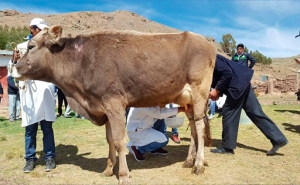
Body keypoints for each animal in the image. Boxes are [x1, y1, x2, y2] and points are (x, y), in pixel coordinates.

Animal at [11, 25, 217, 184]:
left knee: (199, 126)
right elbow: (110, 139)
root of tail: (205, 40)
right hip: (187, 100)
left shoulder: (114, 103)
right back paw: (189, 161)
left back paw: (198, 165)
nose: (14, 69)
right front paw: (109, 169)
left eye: (31, 46)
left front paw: (123, 175)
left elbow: (119, 141)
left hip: (199, 90)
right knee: (193, 127)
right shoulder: (104, 108)